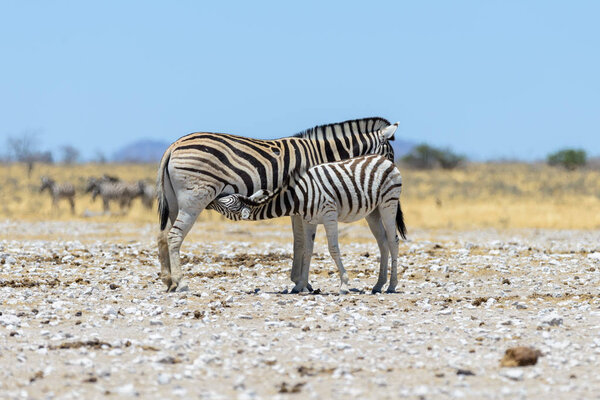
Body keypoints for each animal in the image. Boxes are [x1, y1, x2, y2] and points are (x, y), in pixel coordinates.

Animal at [157, 117, 396, 292]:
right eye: (390, 153)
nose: (389, 171)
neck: (322, 155)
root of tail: (173, 146)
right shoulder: (304, 198)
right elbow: (301, 242)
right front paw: (301, 282)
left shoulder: (300, 203)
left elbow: (299, 242)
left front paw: (300, 281)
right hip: (194, 199)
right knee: (174, 236)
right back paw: (182, 283)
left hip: (175, 202)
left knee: (163, 236)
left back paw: (169, 281)